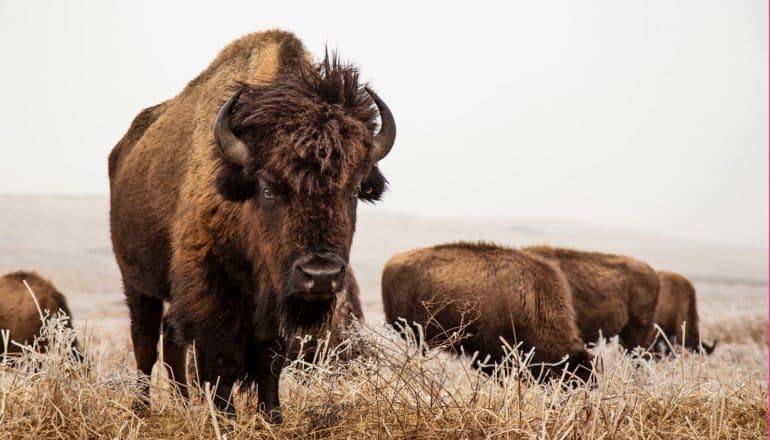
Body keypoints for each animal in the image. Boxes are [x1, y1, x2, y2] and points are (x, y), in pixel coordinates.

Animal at [109, 29, 396, 422]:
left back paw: (182, 402)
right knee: (146, 342)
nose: (320, 275)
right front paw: (225, 416)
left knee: (171, 341)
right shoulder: (211, 288)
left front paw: (272, 415)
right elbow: (222, 359)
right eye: (268, 188)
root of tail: (124, 150)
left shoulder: (277, 300)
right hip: (137, 281)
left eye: (353, 190)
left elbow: (269, 358)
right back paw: (142, 409)